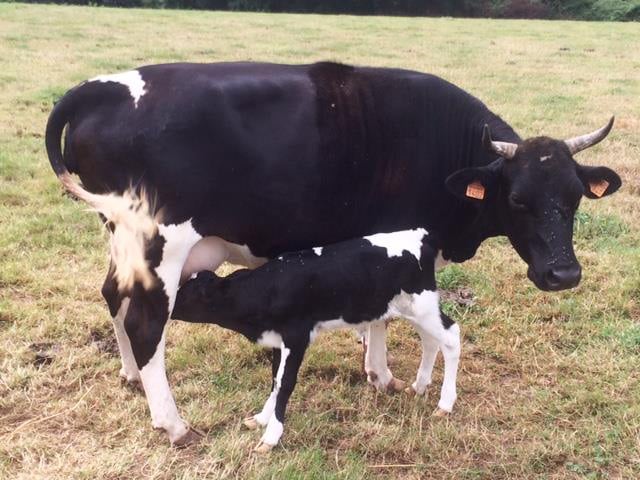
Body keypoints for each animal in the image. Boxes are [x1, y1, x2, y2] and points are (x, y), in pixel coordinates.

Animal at [171, 228, 460, 452]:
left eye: (185, 294)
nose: (166, 307)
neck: (268, 288)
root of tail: (421, 236)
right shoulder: (279, 340)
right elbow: (275, 379)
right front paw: (262, 418)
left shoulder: (297, 336)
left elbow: (285, 383)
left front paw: (271, 436)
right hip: (414, 309)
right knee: (430, 340)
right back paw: (418, 387)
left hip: (422, 305)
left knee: (451, 337)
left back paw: (445, 404)